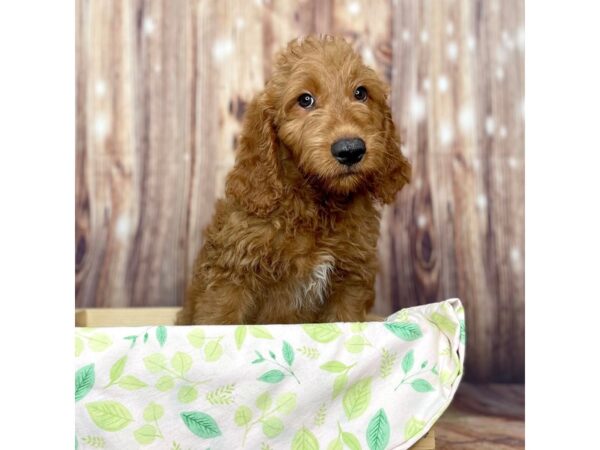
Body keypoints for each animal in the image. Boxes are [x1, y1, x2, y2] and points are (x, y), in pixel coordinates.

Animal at [178, 35, 410, 324]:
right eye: (305, 100)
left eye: (361, 93)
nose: (350, 150)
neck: (316, 205)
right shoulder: (232, 276)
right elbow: (220, 319)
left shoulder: (350, 284)